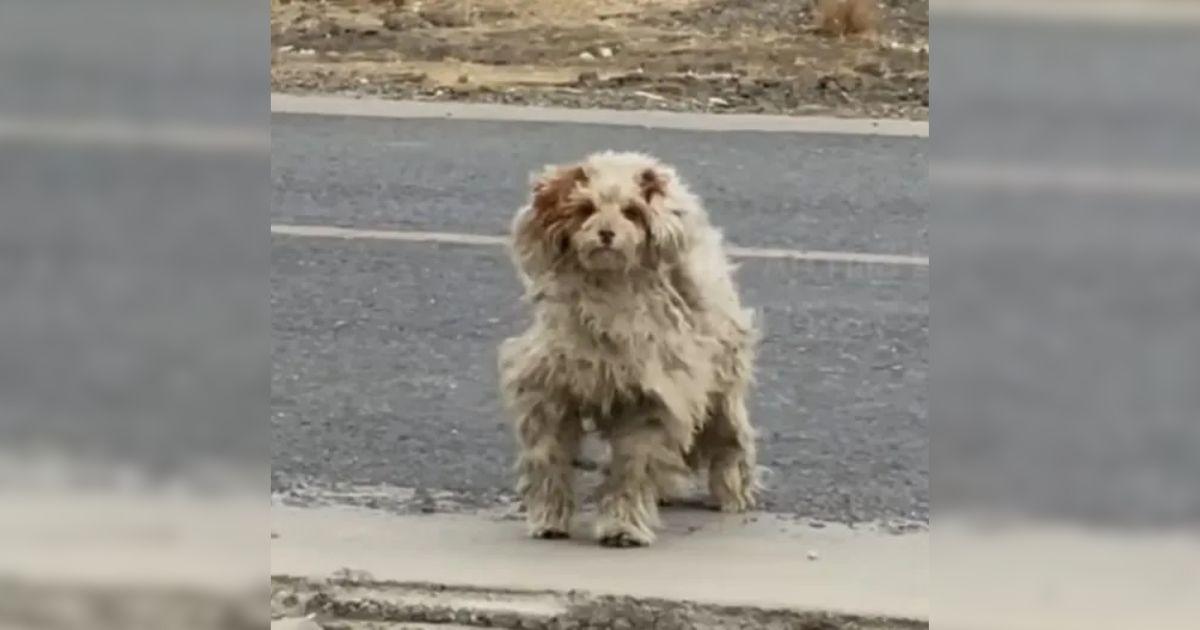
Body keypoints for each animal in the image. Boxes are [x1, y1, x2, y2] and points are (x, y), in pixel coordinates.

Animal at [496, 151, 758, 544]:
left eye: (632, 211)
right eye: (585, 208)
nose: (606, 233)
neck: (609, 293)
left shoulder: (652, 398)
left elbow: (632, 466)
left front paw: (624, 525)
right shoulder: (549, 388)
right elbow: (548, 456)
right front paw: (549, 518)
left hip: (721, 382)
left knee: (731, 437)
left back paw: (732, 491)